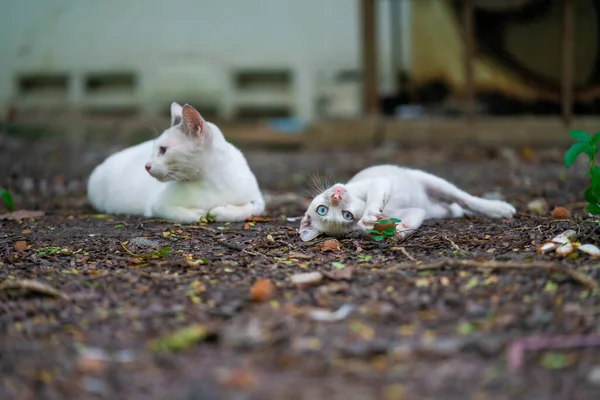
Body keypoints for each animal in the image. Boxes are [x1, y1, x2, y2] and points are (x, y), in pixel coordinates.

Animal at [85, 101, 264, 223]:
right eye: (154, 148)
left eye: (163, 149)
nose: (146, 165)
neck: (209, 182)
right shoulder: (157, 205)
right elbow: (183, 214)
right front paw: (199, 213)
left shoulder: (259, 201)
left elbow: (248, 208)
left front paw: (219, 211)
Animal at [300, 165, 516, 242]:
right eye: (347, 216)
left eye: (321, 209)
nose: (336, 196)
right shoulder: (414, 211)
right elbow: (413, 218)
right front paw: (400, 231)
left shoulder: (378, 182)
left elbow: (376, 192)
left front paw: (369, 214)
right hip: (434, 209)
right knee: (450, 208)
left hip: (431, 180)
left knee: (464, 198)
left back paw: (498, 208)